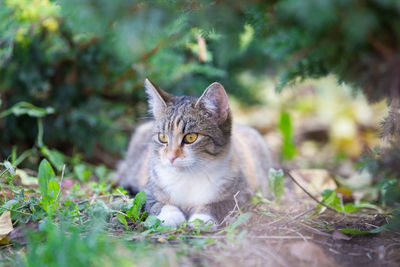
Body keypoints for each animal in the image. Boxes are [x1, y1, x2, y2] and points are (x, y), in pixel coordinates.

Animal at [115, 79, 272, 228]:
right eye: (162, 137)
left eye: (191, 137)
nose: (171, 157)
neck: (188, 176)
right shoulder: (150, 189)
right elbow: (157, 203)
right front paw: (171, 216)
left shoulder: (241, 192)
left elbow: (220, 204)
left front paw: (201, 218)